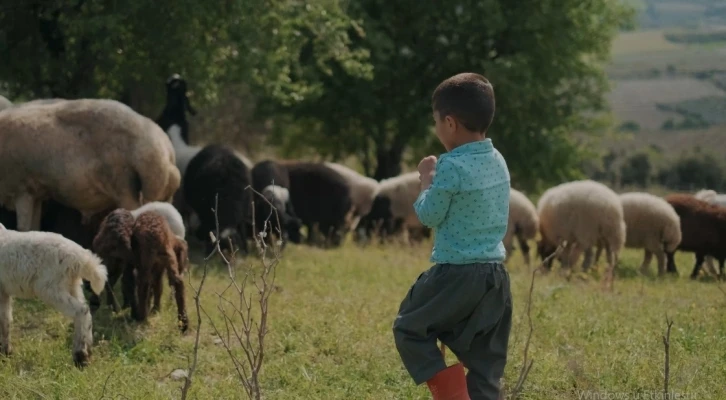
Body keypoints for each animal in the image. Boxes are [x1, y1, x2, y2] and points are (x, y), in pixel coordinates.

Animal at [0, 97, 181, 233]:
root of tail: (164, 152)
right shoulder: (36, 193)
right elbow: (33, 228)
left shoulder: (22, 188)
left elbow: (22, 229)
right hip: (160, 195)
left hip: (125, 187)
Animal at [0, 223, 108, 368]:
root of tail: (80, 257)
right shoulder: (3, 291)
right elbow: (5, 320)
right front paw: (6, 353)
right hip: (72, 286)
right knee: (86, 310)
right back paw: (86, 352)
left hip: (50, 288)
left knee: (81, 310)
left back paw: (80, 356)